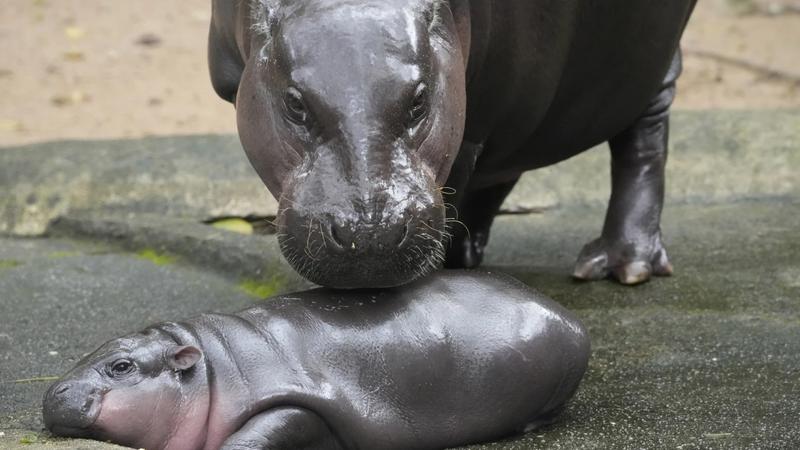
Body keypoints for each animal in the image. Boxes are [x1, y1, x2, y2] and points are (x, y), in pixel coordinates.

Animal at [45, 270, 592, 450]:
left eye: (122, 367)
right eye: (96, 349)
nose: (55, 391)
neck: (212, 368)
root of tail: (566, 313)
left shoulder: (298, 403)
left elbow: (264, 431)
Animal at [209, 0, 696, 288]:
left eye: (420, 99)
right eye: (294, 103)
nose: (370, 232)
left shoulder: (469, 122)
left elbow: (456, 183)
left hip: (646, 68)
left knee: (644, 141)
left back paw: (622, 265)